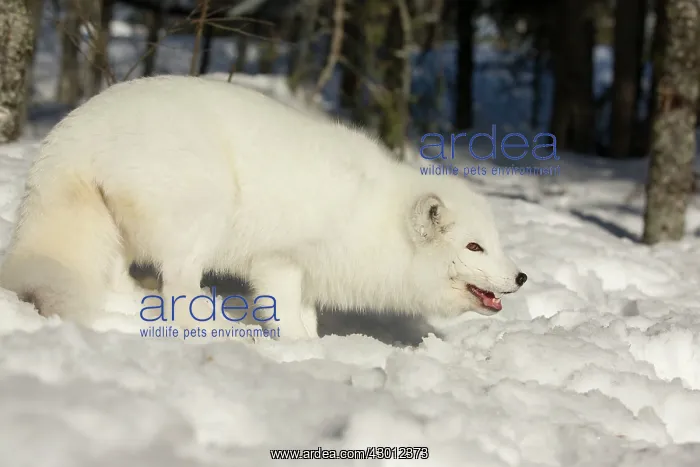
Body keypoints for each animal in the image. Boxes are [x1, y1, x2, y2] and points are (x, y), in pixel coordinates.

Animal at [0, 75, 527, 340]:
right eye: (473, 247)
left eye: (496, 244)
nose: (521, 277)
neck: (372, 218)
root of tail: (74, 129)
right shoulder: (280, 261)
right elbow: (284, 317)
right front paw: (302, 356)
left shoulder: (313, 273)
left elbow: (308, 319)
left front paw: (313, 346)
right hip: (205, 208)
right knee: (177, 288)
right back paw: (204, 320)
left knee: (115, 273)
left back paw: (132, 299)